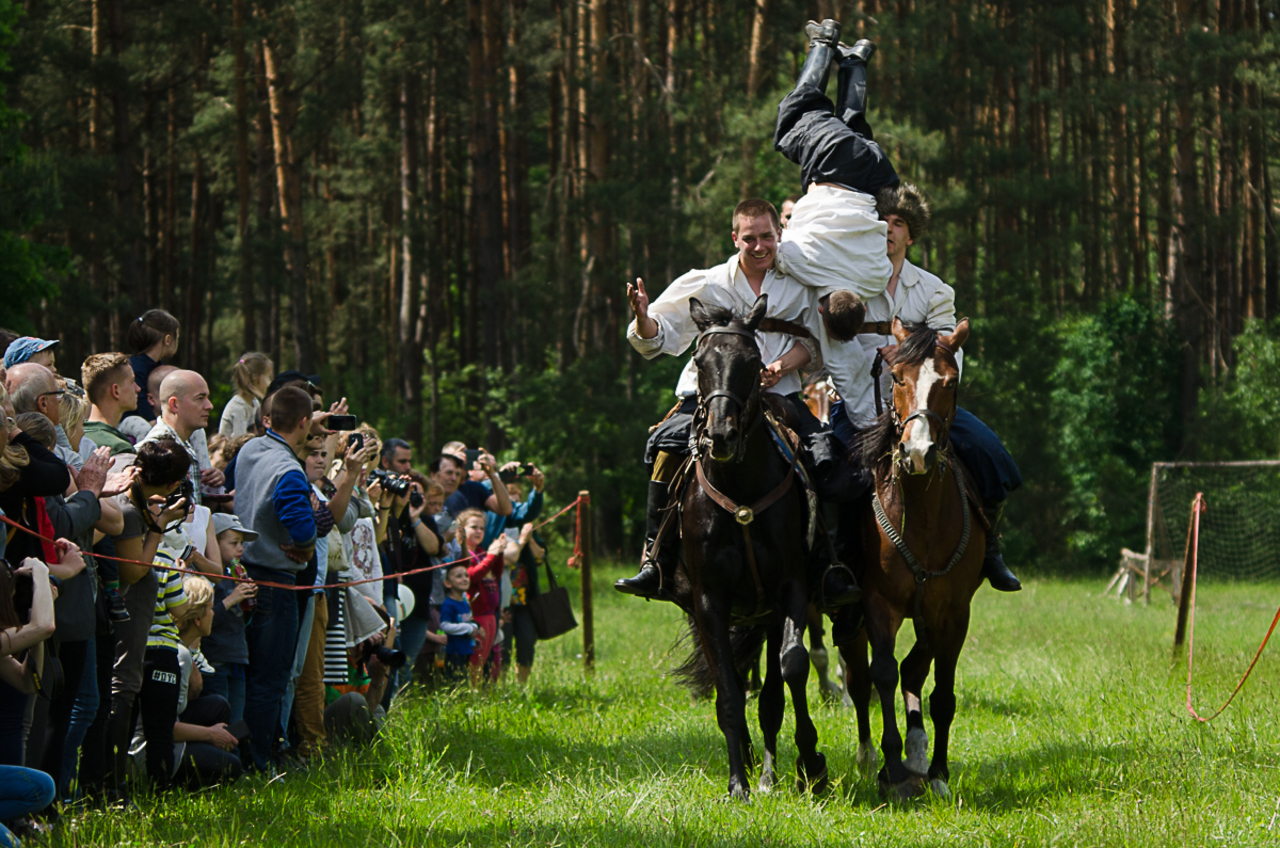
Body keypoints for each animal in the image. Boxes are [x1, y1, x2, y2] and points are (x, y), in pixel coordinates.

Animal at [670, 295, 829, 799]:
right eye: (700, 361)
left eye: (752, 363)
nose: (720, 435)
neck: (739, 493)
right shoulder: (709, 603)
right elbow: (728, 692)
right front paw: (737, 782)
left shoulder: (789, 589)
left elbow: (792, 668)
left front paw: (810, 764)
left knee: (774, 691)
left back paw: (772, 771)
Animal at [839, 315, 988, 799]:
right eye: (898, 378)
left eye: (950, 381)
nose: (918, 452)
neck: (920, 514)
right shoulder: (877, 605)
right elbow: (882, 673)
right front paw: (891, 768)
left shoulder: (954, 610)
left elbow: (941, 691)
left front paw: (937, 771)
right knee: (860, 677)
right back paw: (870, 756)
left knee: (915, 669)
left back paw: (919, 751)